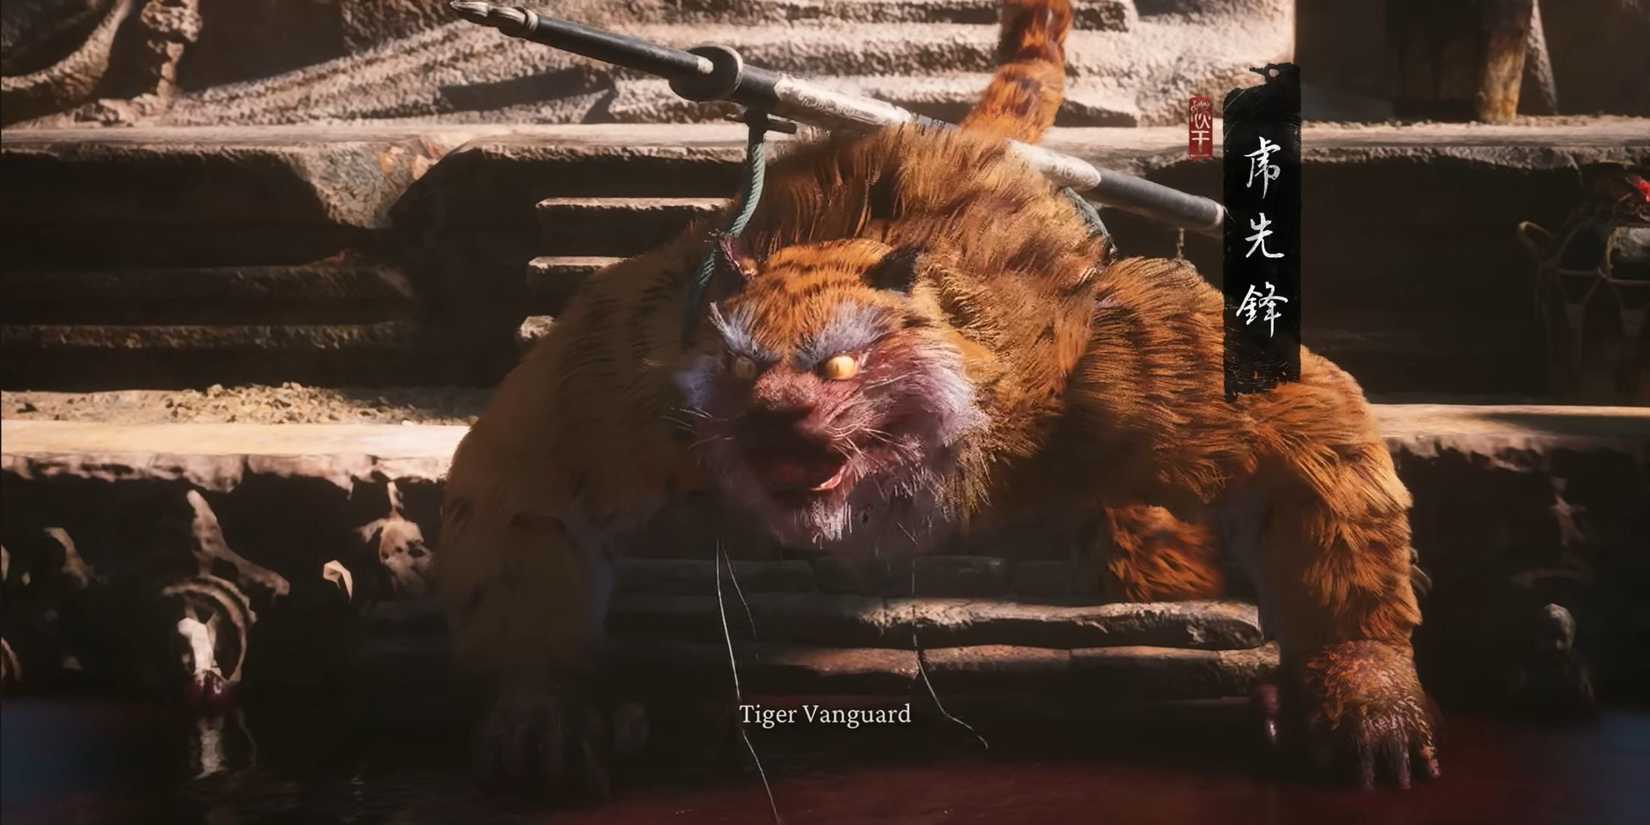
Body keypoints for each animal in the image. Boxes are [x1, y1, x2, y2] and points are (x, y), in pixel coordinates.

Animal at [437, 0, 1439, 797]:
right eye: (737, 366)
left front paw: (1365, 696)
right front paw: (543, 707)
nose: (772, 418)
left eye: (843, 366)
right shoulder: (619, 388)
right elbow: (520, 497)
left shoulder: (1107, 365)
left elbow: (1311, 449)